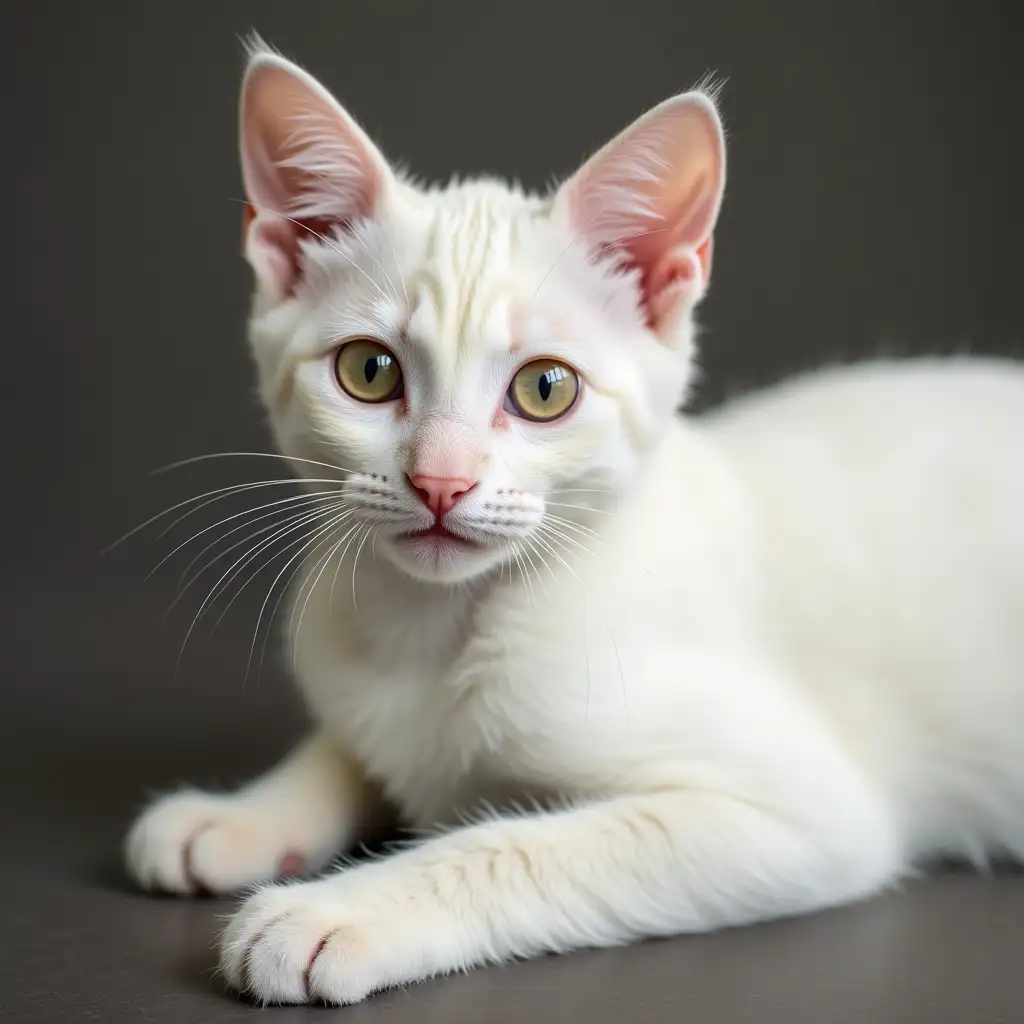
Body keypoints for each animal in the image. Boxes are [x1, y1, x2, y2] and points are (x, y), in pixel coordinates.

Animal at [125, 44, 1024, 1003]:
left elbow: (518, 843)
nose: (440, 481)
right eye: (369, 372)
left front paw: (334, 910)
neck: (435, 635)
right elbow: (351, 746)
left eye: (545, 389)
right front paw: (239, 816)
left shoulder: (801, 812)